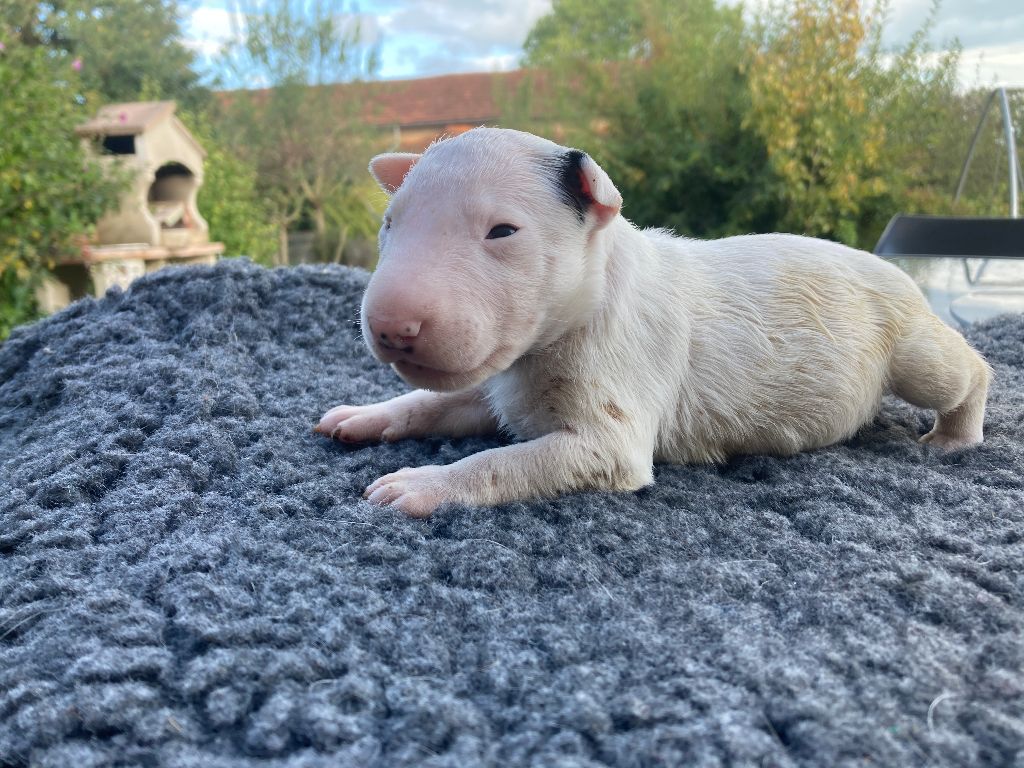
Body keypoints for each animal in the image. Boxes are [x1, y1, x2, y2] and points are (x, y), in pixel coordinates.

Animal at [313, 129, 991, 520]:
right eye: (390, 224)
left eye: (502, 231)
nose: (391, 327)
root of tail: (889, 268)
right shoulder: (498, 381)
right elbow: (434, 402)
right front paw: (365, 416)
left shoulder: (611, 423)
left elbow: (506, 462)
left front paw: (420, 485)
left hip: (910, 343)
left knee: (966, 371)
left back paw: (956, 434)